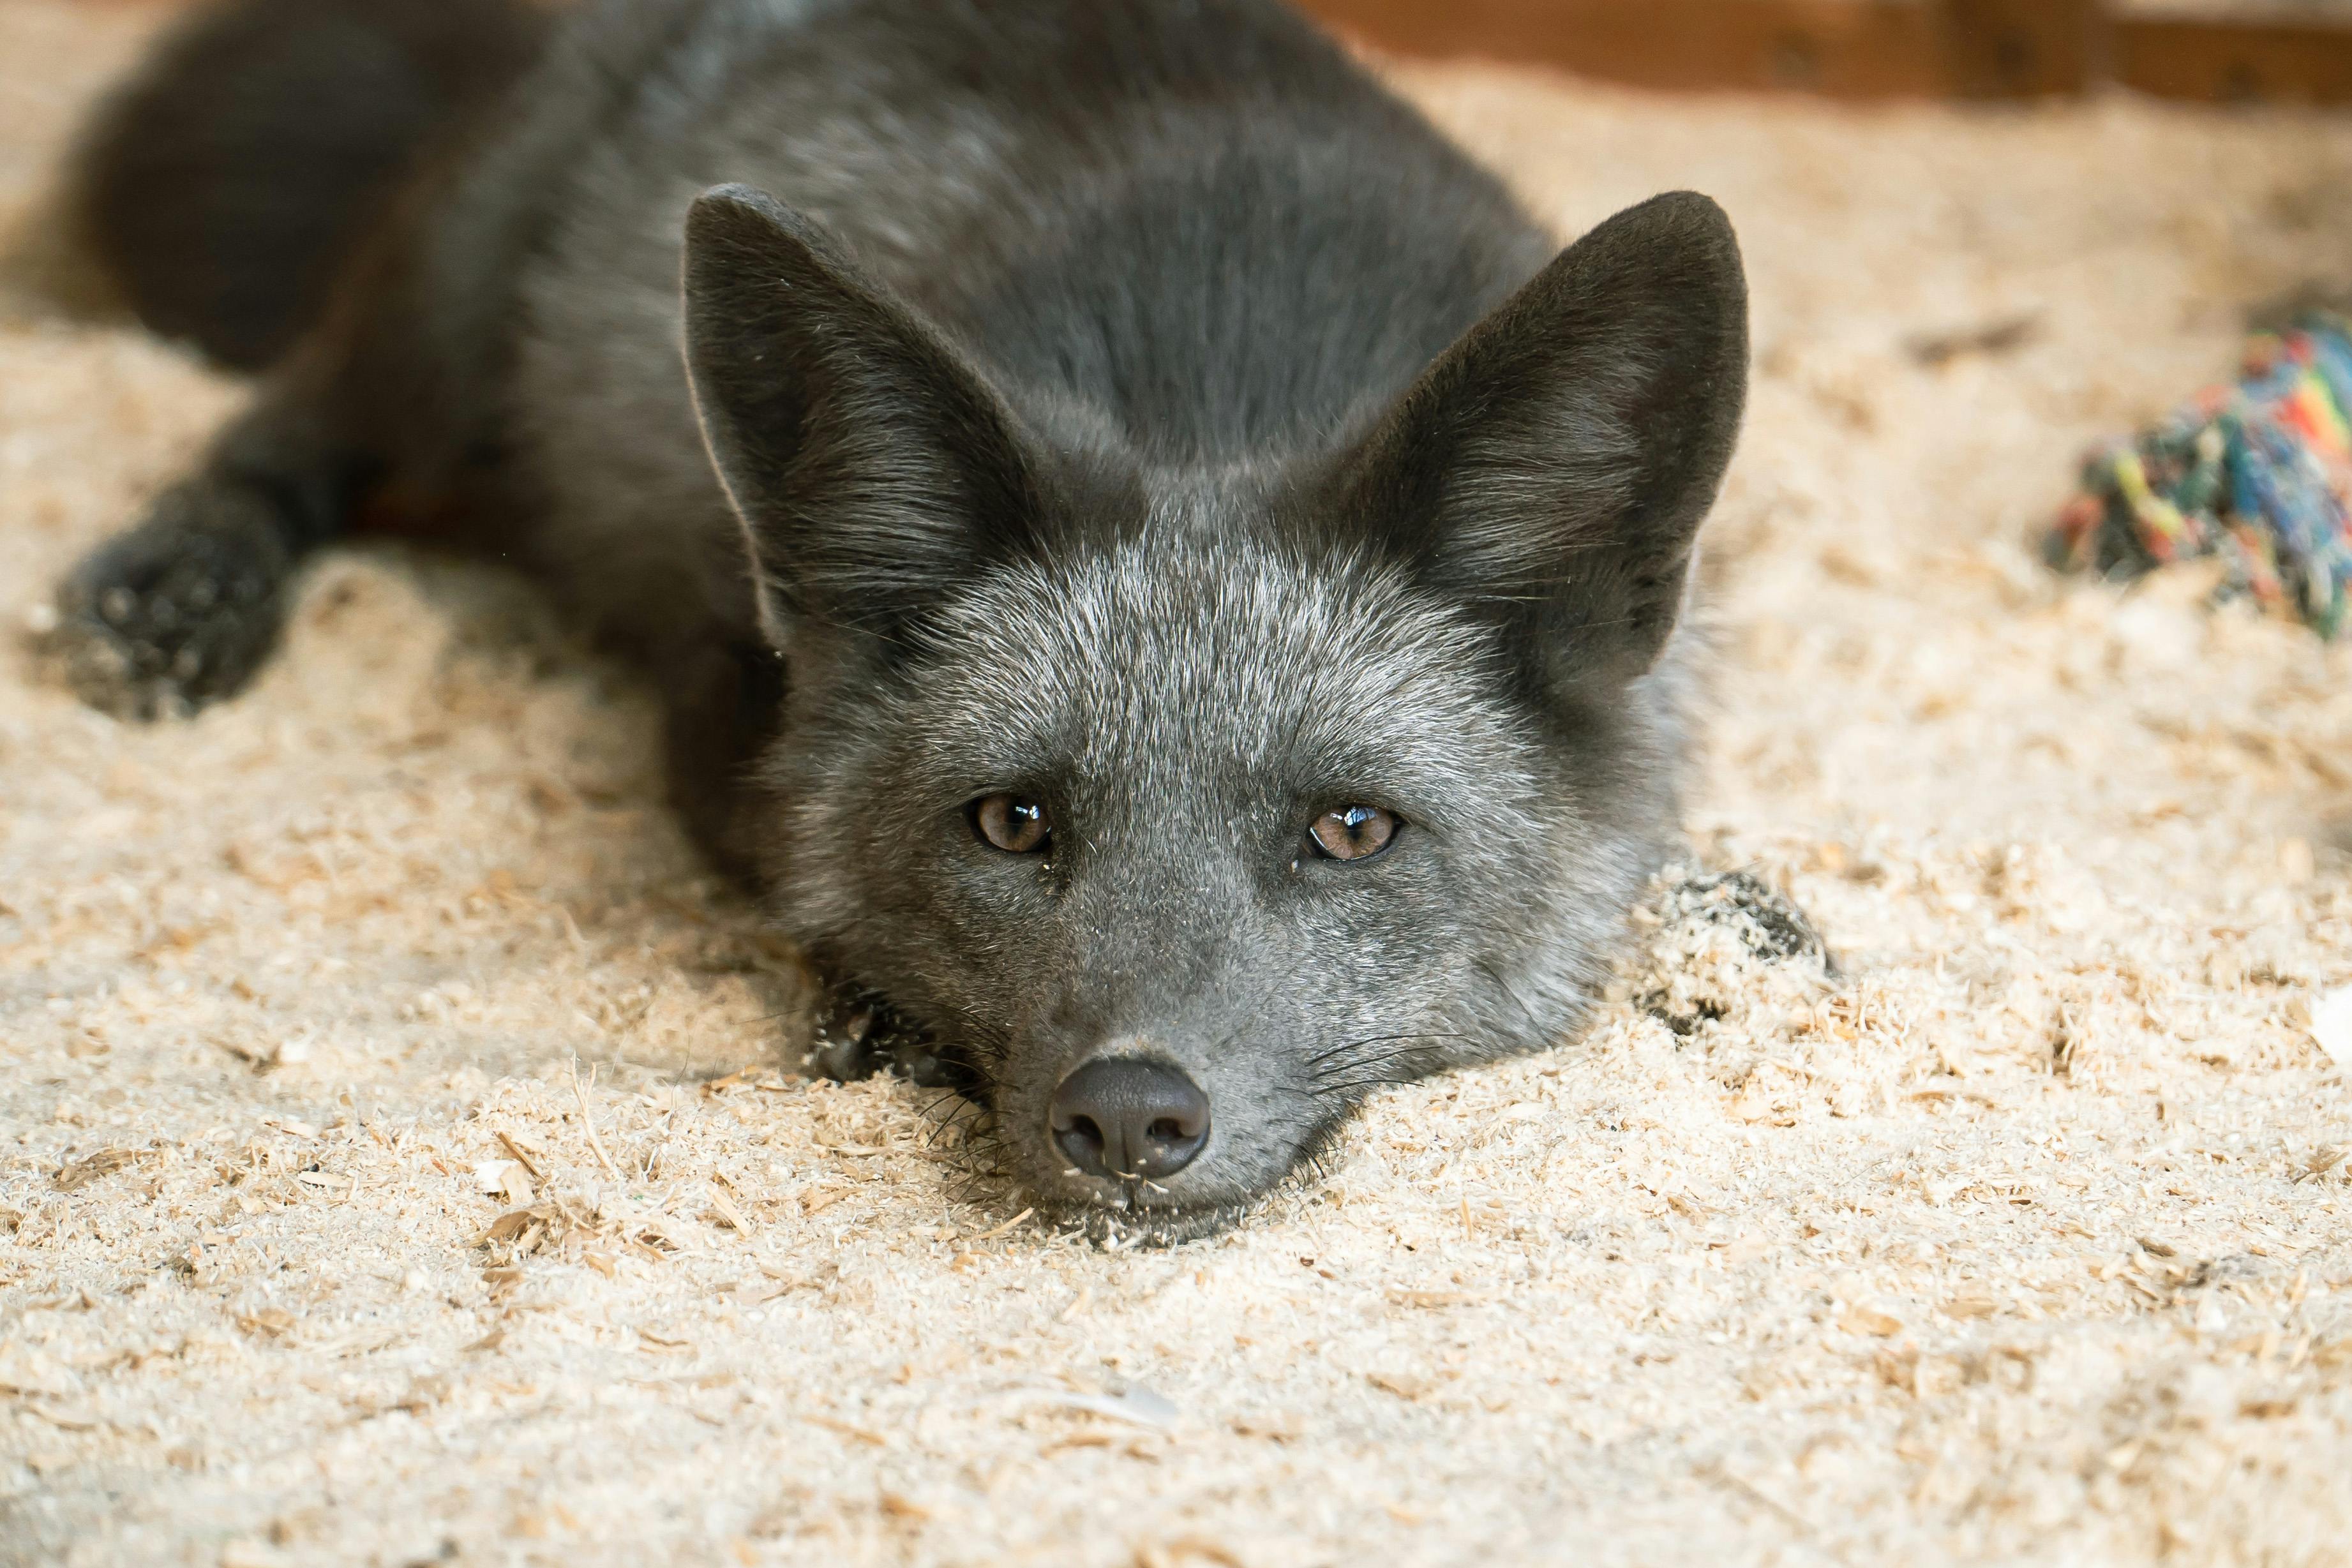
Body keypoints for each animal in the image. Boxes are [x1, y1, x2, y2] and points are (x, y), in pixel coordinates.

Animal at [46, 0, 1748, 1242]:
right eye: (1010, 823)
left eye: (1348, 830)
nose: (1129, 1116)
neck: (1220, 391)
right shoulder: (718, 701)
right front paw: (876, 1009)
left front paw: (1731, 925)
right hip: (447, 319)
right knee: (287, 419)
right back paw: (177, 590)